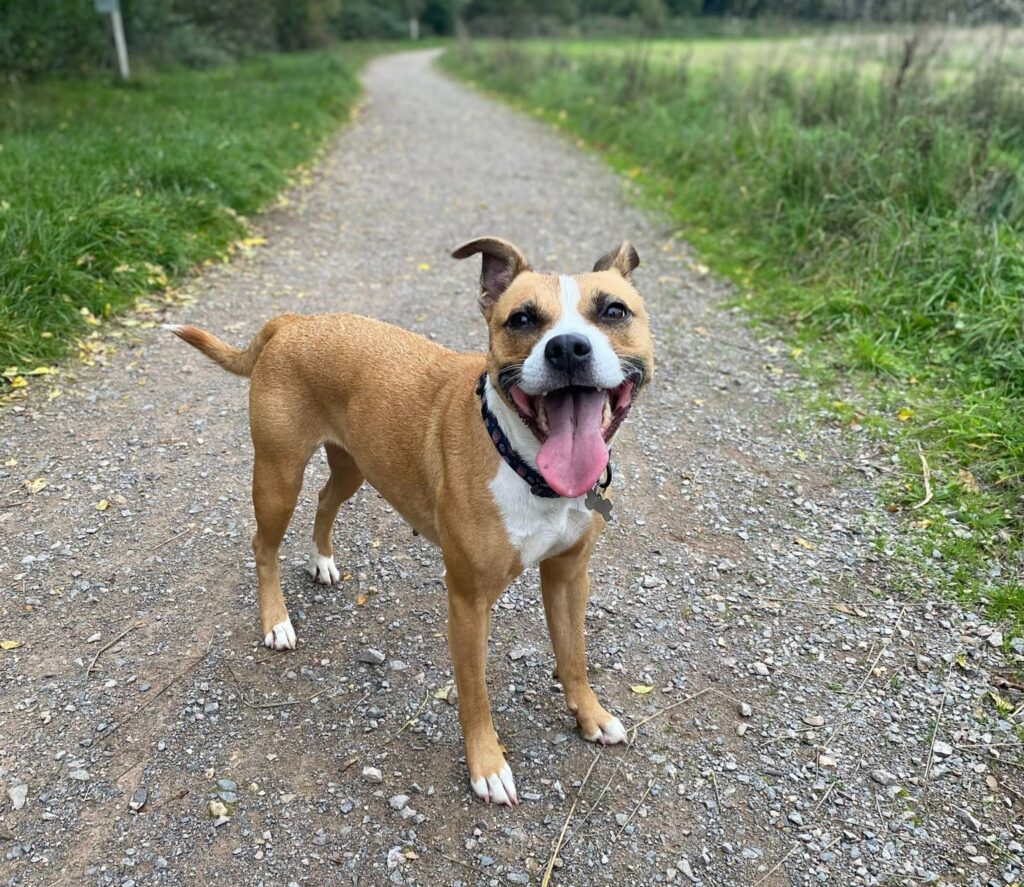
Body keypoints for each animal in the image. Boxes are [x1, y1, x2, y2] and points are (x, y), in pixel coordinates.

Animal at [164, 238, 651, 807]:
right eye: (523, 319)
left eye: (613, 311)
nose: (569, 348)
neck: (524, 464)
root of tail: (294, 321)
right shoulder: (467, 601)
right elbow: (475, 692)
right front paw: (487, 766)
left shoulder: (569, 575)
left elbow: (574, 656)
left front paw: (591, 715)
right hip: (278, 476)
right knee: (264, 546)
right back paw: (277, 622)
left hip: (354, 467)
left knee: (324, 504)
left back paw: (322, 562)